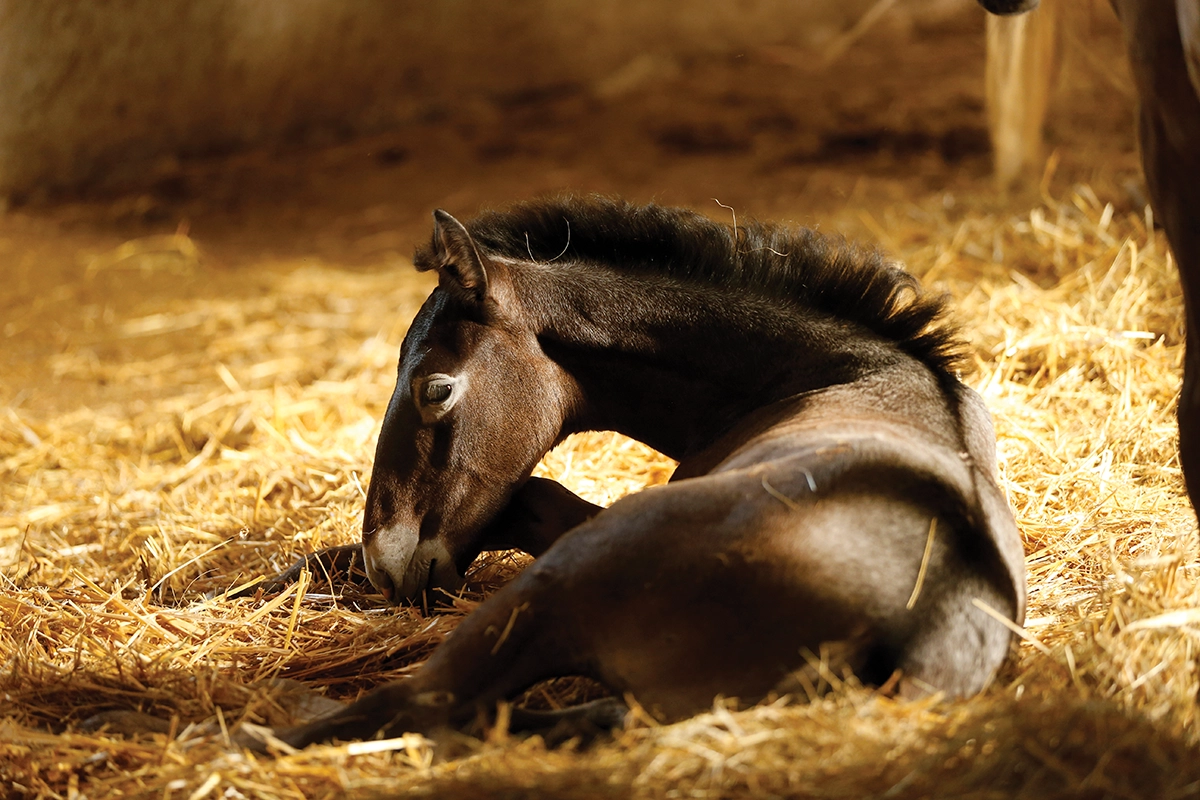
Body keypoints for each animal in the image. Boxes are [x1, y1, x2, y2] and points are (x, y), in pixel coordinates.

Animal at [239, 197, 1026, 749]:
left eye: (436, 388)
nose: (387, 564)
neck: (844, 369)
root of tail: (922, 632)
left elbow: (526, 501)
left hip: (568, 577)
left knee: (411, 703)